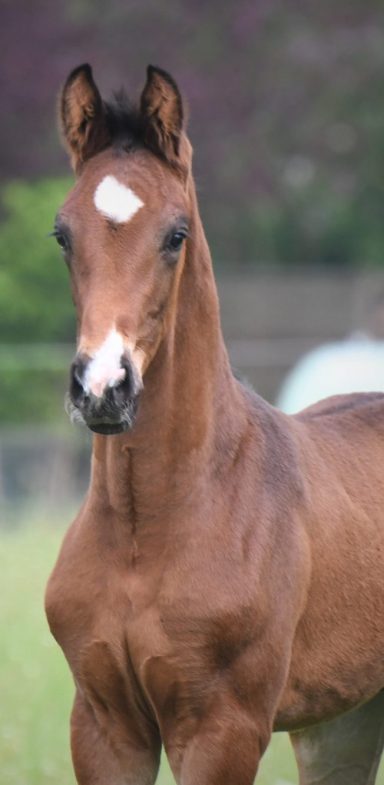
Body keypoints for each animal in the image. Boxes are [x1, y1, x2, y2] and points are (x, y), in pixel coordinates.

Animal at [45, 62, 384, 784]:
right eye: (62, 234)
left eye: (176, 234)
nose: (103, 387)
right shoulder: (104, 726)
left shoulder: (221, 728)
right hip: (341, 721)